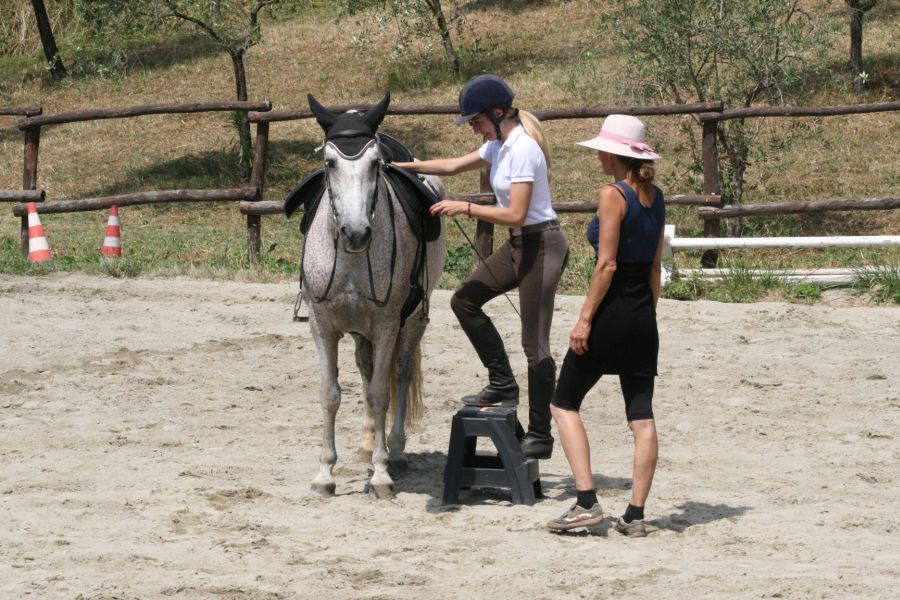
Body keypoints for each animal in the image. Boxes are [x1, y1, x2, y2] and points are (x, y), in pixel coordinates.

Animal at [284, 92, 446, 496]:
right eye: (330, 163)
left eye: (375, 164)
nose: (356, 233)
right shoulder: (322, 326)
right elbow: (330, 393)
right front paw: (325, 474)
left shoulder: (388, 324)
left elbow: (379, 393)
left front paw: (382, 474)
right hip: (360, 330)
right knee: (367, 368)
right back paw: (370, 440)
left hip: (412, 320)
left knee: (400, 372)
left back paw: (396, 449)